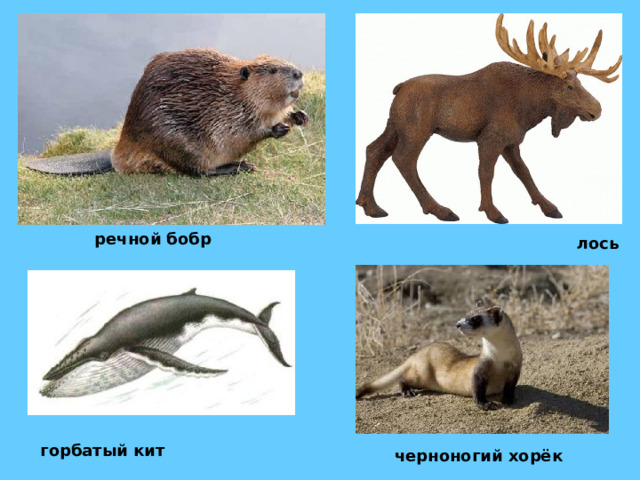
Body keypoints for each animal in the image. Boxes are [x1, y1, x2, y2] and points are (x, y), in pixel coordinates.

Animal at [356, 14, 622, 224]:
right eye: (568, 86)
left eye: (580, 82)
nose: (597, 109)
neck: (530, 107)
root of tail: (399, 88)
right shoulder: (490, 138)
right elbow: (486, 172)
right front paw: (493, 212)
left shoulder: (512, 142)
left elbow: (524, 172)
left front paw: (549, 207)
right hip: (416, 130)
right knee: (403, 159)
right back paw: (440, 210)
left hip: (394, 125)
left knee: (374, 150)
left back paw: (370, 206)